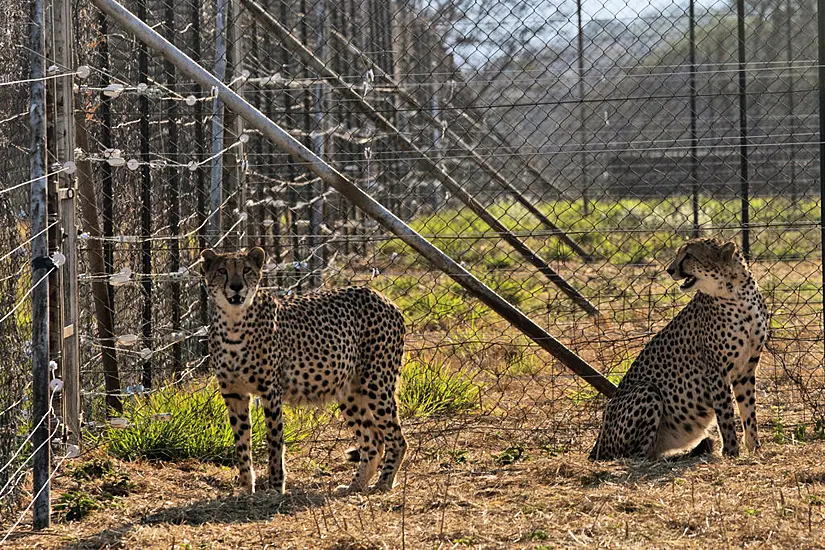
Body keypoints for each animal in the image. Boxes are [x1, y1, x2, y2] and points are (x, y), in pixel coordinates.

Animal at [200, 248, 406, 498]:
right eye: (222, 271)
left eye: (246, 269)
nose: (237, 286)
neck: (233, 321)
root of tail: (380, 296)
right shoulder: (234, 394)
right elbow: (241, 443)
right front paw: (246, 488)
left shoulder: (270, 392)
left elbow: (274, 442)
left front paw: (276, 487)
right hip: (349, 391)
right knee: (373, 440)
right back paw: (354, 486)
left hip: (376, 383)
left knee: (397, 439)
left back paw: (384, 483)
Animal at [588, 238, 768, 462]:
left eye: (689, 255)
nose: (670, 270)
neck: (737, 293)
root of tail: (597, 444)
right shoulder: (716, 370)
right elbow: (725, 414)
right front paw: (731, 452)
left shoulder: (746, 368)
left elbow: (748, 410)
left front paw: (754, 449)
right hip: (647, 390)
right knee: (634, 455)